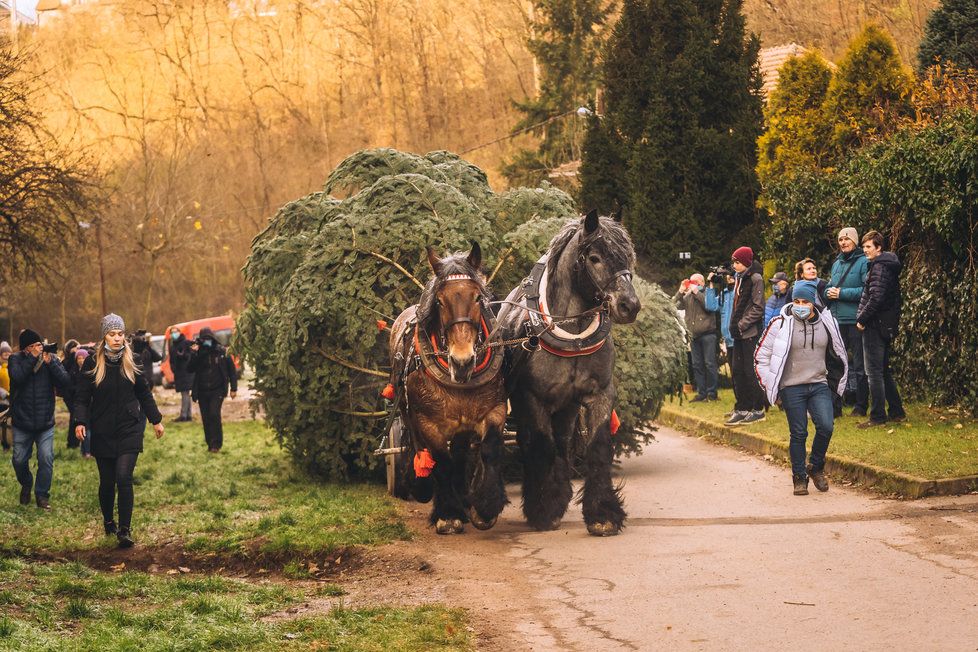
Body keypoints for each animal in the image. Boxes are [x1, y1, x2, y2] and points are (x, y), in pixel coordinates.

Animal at [386, 242, 508, 532]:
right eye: (440, 301)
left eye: (477, 298)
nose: (462, 362)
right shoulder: (429, 423)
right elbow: (441, 461)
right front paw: (448, 514)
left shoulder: (494, 410)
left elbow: (487, 449)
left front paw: (485, 506)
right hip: (408, 412)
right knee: (420, 448)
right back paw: (423, 487)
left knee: (461, 455)